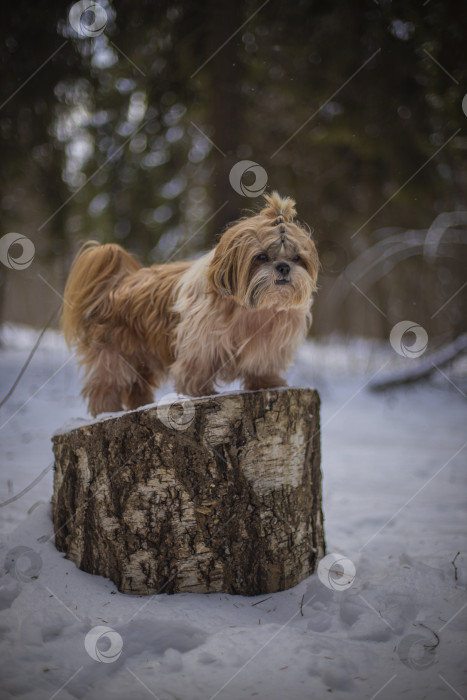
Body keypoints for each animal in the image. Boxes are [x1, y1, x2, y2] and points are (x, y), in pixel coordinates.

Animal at [62, 191, 320, 416]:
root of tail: (117, 284)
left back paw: (140, 405)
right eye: (262, 256)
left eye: (297, 258)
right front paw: (200, 392)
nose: (284, 267)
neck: (252, 310)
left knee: (137, 385)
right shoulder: (201, 340)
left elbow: (262, 366)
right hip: (114, 355)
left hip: (140, 357)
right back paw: (107, 412)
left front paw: (267, 384)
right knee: (105, 386)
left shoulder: (269, 346)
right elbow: (197, 366)